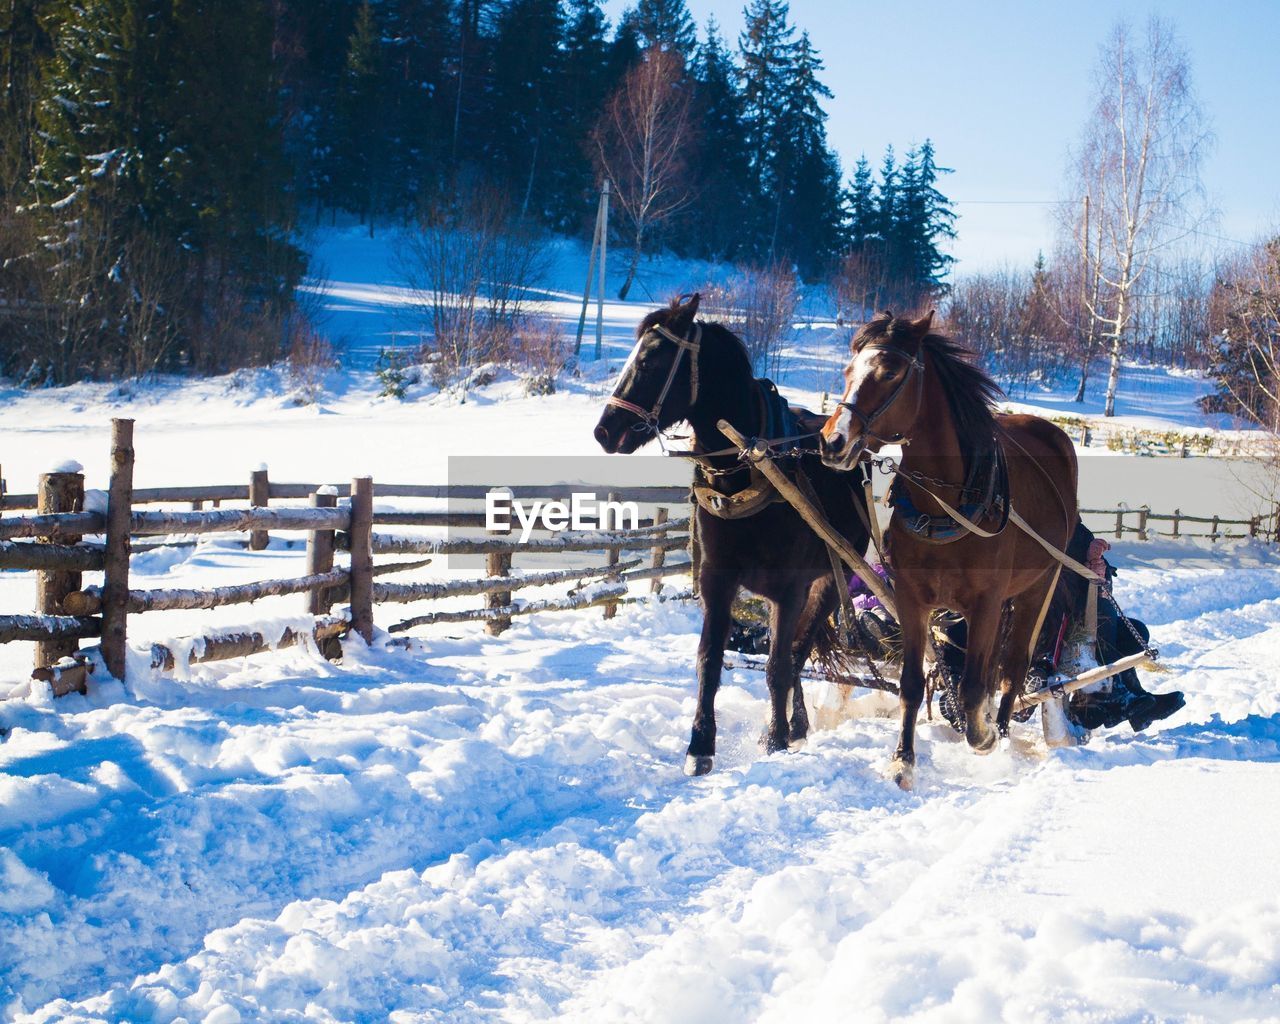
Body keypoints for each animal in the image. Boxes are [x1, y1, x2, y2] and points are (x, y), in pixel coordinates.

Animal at [593, 291, 875, 773]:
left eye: (649, 361)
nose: (604, 431)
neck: (748, 472)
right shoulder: (716, 580)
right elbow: (710, 660)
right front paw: (700, 745)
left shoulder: (790, 589)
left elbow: (779, 664)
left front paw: (774, 740)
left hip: (832, 579)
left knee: (799, 649)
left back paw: (790, 725)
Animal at [819, 312, 1070, 793]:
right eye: (847, 371)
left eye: (890, 371)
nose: (832, 441)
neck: (946, 504)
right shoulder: (912, 599)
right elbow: (912, 684)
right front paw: (902, 761)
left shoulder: (987, 603)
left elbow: (973, 689)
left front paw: (984, 737)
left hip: (1037, 590)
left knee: (1011, 669)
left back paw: (1000, 732)